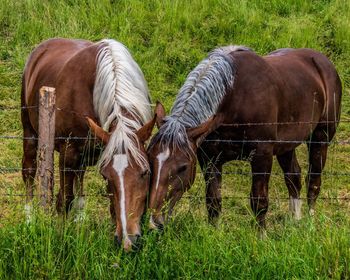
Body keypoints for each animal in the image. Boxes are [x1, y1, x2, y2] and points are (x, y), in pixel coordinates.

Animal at [21, 38, 156, 250]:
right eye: (106, 176)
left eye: (145, 172)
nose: (128, 239)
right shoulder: (69, 152)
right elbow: (64, 199)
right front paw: (60, 236)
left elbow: (111, 202)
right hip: (30, 131)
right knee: (29, 170)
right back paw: (29, 218)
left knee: (81, 175)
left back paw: (80, 217)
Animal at [148, 46, 342, 234]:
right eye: (150, 160)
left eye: (183, 167)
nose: (154, 221)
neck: (233, 98)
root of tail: (322, 62)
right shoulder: (210, 159)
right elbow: (213, 201)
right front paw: (214, 234)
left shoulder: (261, 156)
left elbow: (259, 201)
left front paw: (261, 237)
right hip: (286, 146)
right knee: (293, 178)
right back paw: (295, 221)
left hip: (320, 138)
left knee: (314, 182)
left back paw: (309, 224)